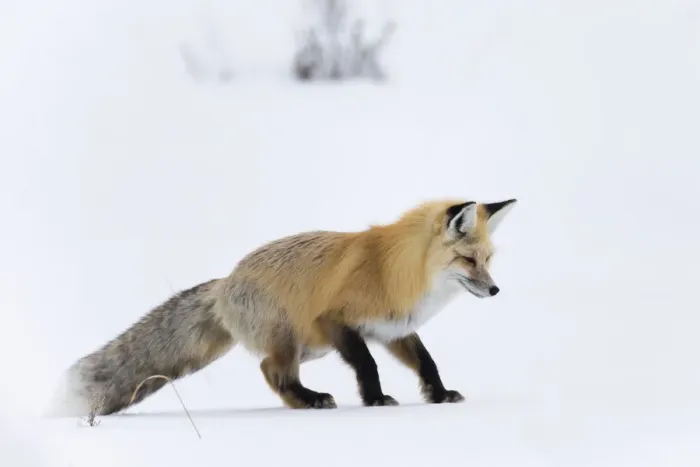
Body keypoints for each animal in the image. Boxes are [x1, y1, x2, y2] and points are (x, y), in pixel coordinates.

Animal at [47, 198, 517, 416]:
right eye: (468, 260)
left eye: (488, 260)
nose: (496, 291)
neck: (397, 270)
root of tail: (224, 283)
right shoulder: (336, 321)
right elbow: (368, 365)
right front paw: (375, 400)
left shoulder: (393, 329)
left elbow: (427, 363)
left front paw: (438, 395)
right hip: (295, 339)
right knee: (274, 372)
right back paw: (309, 399)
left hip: (310, 347)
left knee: (268, 371)